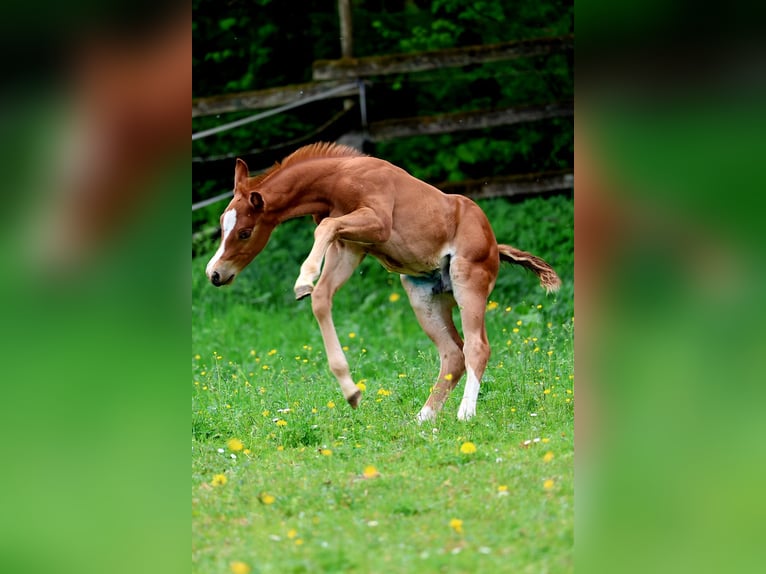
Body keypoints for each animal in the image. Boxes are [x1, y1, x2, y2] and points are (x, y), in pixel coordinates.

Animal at [205, 142, 561, 421]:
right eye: (222, 224)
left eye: (245, 232)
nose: (215, 273)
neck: (338, 178)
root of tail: (494, 244)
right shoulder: (350, 246)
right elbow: (321, 297)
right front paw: (351, 392)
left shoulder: (377, 223)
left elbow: (325, 228)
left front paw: (303, 278)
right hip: (422, 295)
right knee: (453, 354)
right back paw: (422, 418)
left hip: (468, 282)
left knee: (477, 346)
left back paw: (465, 413)